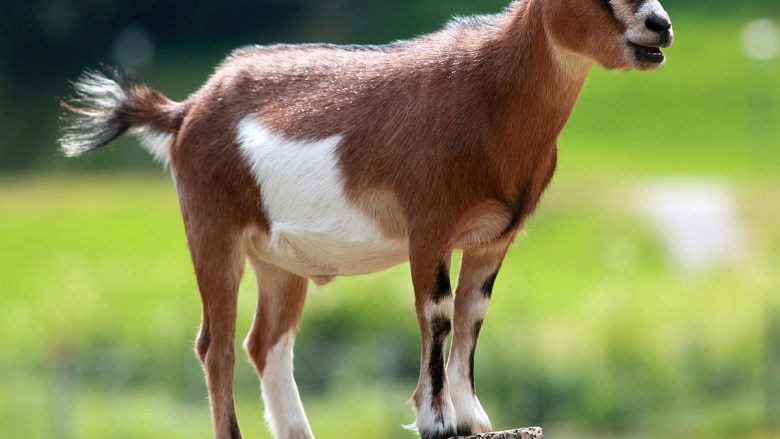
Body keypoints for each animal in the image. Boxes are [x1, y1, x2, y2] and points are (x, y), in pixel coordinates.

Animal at [59, 0, 672, 439]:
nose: (660, 25)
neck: (488, 96)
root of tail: (184, 111)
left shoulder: (493, 238)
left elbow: (473, 314)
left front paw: (472, 416)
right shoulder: (429, 226)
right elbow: (438, 313)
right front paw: (436, 421)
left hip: (278, 261)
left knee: (265, 342)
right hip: (212, 228)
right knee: (218, 345)